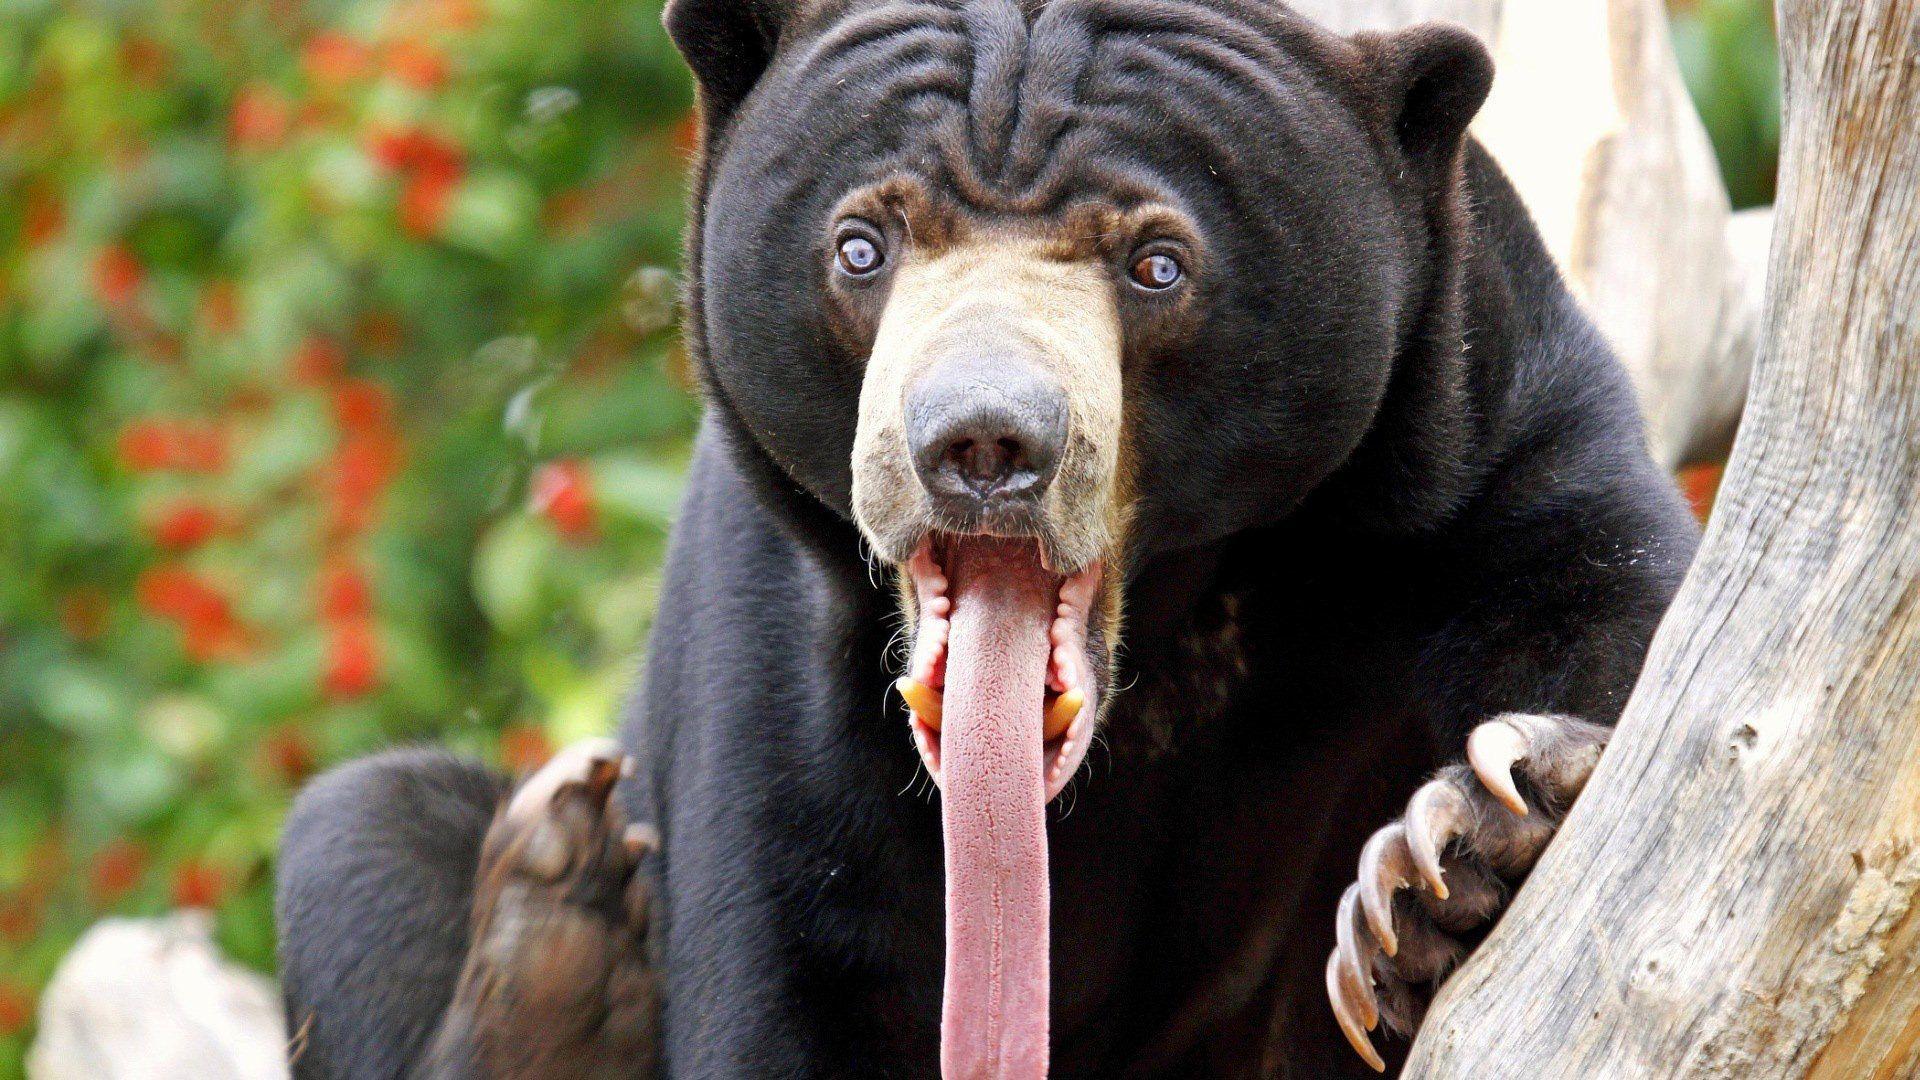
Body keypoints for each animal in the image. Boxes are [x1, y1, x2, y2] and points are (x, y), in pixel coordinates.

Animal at [274, 0, 1701, 1076]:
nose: (980, 444)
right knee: (367, 835)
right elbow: (778, 966)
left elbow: (1609, 620)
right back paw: (554, 932)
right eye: (862, 244)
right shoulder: (768, 642)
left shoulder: (1484, 434)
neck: (1173, 632)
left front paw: (1459, 850)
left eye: (1157, 264)